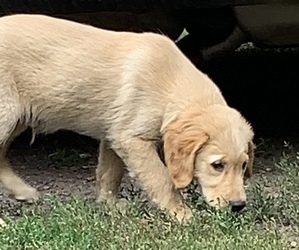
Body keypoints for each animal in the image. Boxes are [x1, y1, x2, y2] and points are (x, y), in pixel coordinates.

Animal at [0, 13, 255, 221]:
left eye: (244, 165)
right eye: (217, 165)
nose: (238, 206)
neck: (172, 84)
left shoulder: (114, 133)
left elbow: (110, 172)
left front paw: (109, 204)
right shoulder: (132, 139)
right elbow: (161, 178)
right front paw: (182, 215)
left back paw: (23, 191)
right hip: (7, 114)